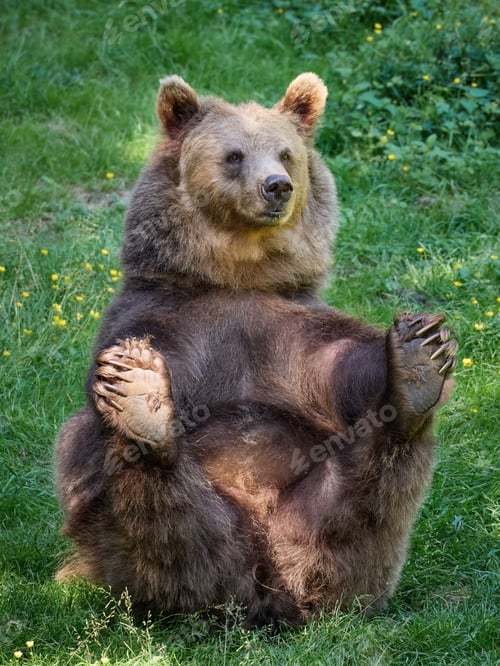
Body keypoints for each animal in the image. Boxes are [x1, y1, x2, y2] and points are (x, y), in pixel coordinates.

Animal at [55, 73, 457, 628]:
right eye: (234, 155)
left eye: (286, 154)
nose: (277, 186)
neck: (238, 276)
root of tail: (257, 586)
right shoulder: (171, 319)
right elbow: (132, 369)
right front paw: (138, 381)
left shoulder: (290, 329)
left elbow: (343, 367)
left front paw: (419, 350)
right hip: (140, 530)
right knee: (144, 507)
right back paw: (145, 425)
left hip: (314, 515)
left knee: (367, 498)